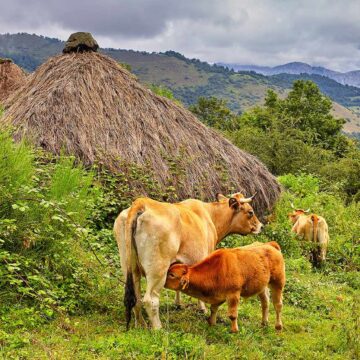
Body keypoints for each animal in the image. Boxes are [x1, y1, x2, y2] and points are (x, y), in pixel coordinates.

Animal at [114, 193, 262, 330]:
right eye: (250, 212)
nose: (261, 226)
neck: (211, 216)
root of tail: (142, 202)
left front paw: (178, 304)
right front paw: (202, 308)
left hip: (129, 266)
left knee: (136, 297)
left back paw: (141, 325)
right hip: (158, 269)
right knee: (150, 300)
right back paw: (158, 328)